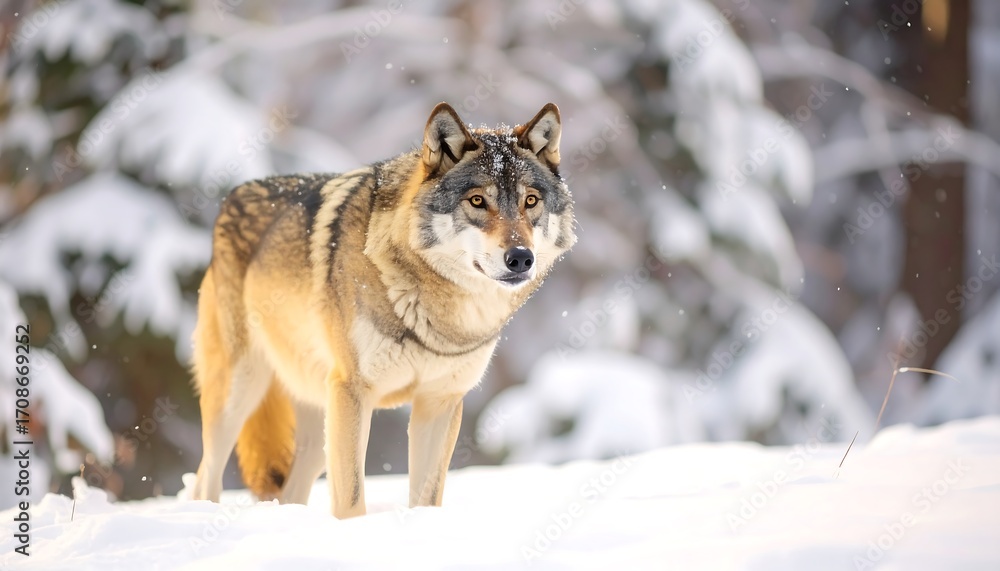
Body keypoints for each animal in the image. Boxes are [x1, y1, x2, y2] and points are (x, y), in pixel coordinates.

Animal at [190, 102, 576, 518]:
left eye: (530, 201)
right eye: (477, 201)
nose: (520, 258)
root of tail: (233, 196)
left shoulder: (439, 402)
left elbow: (427, 497)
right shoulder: (354, 392)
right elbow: (351, 499)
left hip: (317, 424)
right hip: (239, 393)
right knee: (204, 478)